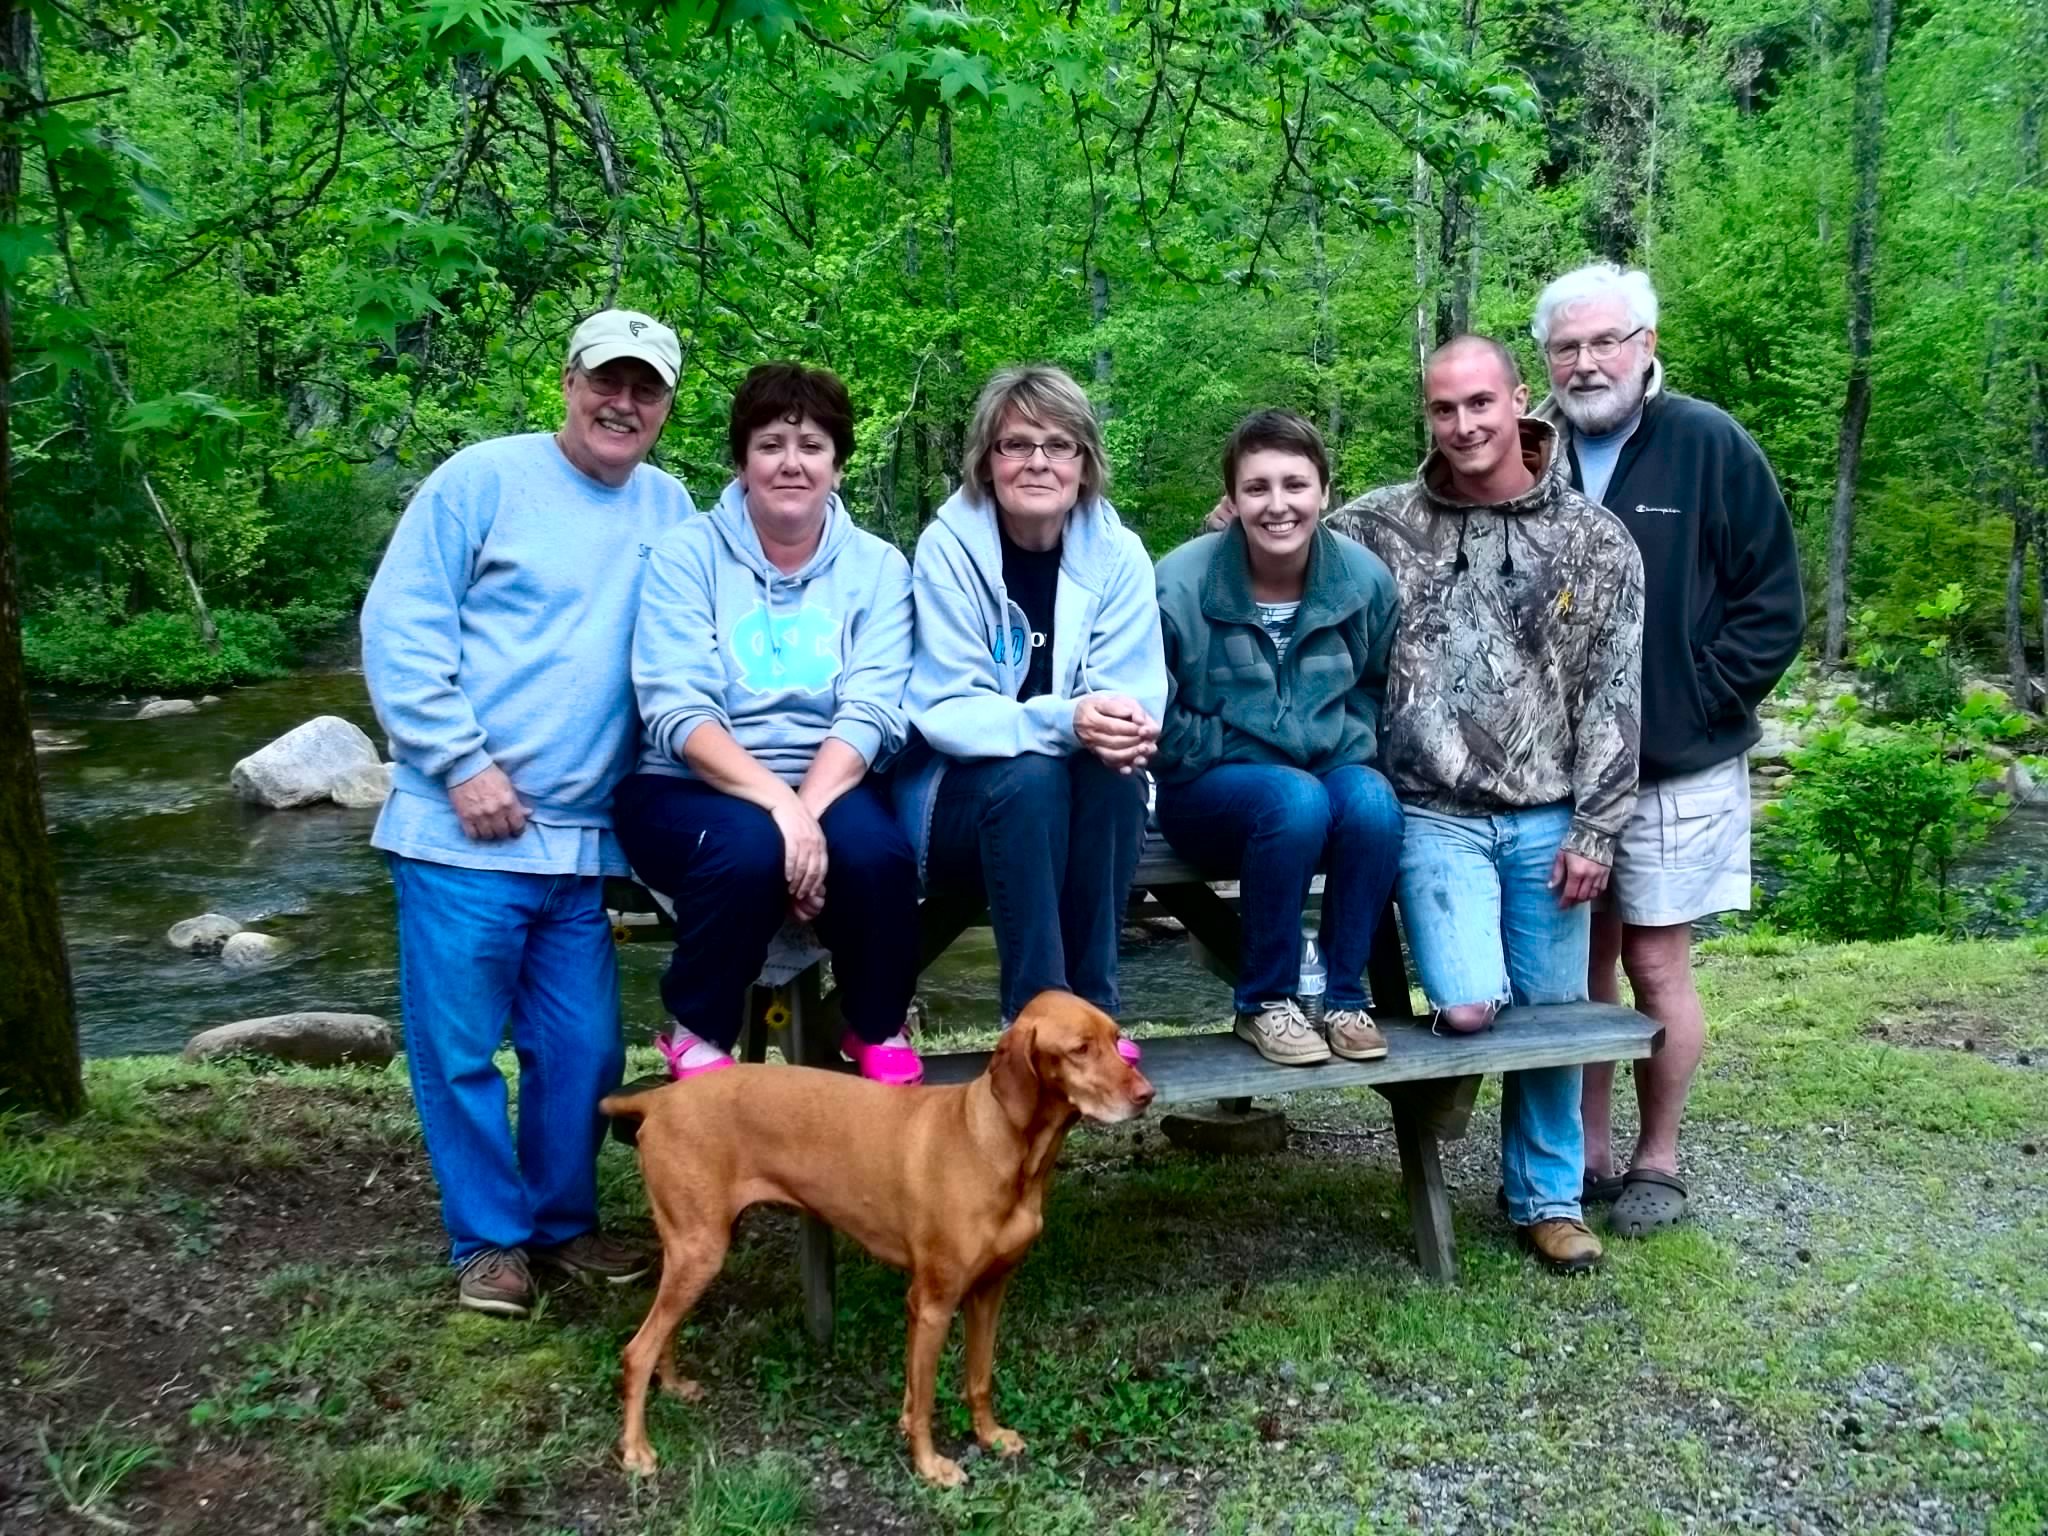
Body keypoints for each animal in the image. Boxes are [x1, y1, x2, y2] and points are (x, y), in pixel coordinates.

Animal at [602, 991, 1155, 1482]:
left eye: (1116, 1037)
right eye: (1080, 1048)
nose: (1146, 1095)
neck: (997, 1145)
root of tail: (660, 1097)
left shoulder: (989, 1291)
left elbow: (977, 1378)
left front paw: (988, 1436)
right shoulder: (931, 1302)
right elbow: (926, 1396)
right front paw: (930, 1466)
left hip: (700, 1248)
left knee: (664, 1331)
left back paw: (674, 1385)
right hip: (701, 1251)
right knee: (636, 1351)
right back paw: (635, 1451)